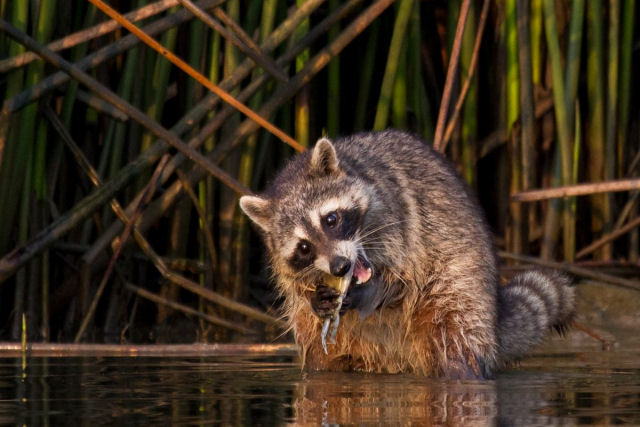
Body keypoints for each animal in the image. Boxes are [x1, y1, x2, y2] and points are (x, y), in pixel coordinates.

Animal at [241, 130, 576, 378]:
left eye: (331, 219)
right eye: (304, 247)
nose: (340, 266)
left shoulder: (399, 216)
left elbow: (403, 278)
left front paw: (367, 292)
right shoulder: (286, 265)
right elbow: (298, 289)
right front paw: (315, 298)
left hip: (463, 291)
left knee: (454, 334)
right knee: (320, 357)